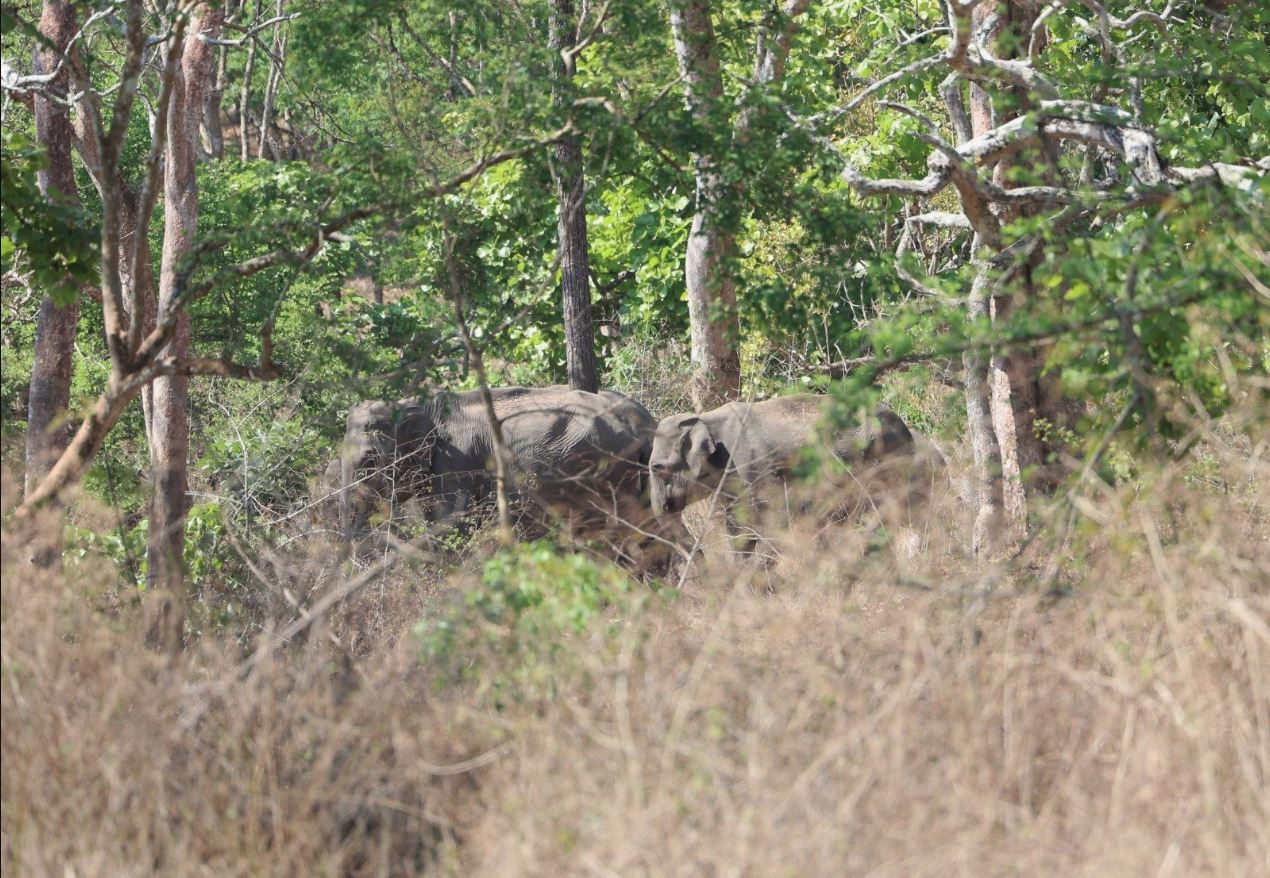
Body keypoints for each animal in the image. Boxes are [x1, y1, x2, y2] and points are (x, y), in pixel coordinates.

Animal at [650, 396, 919, 553]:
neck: (706, 417)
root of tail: (906, 429)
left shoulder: (751, 466)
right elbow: (736, 522)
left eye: (656, 468)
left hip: (887, 462)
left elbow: (761, 517)